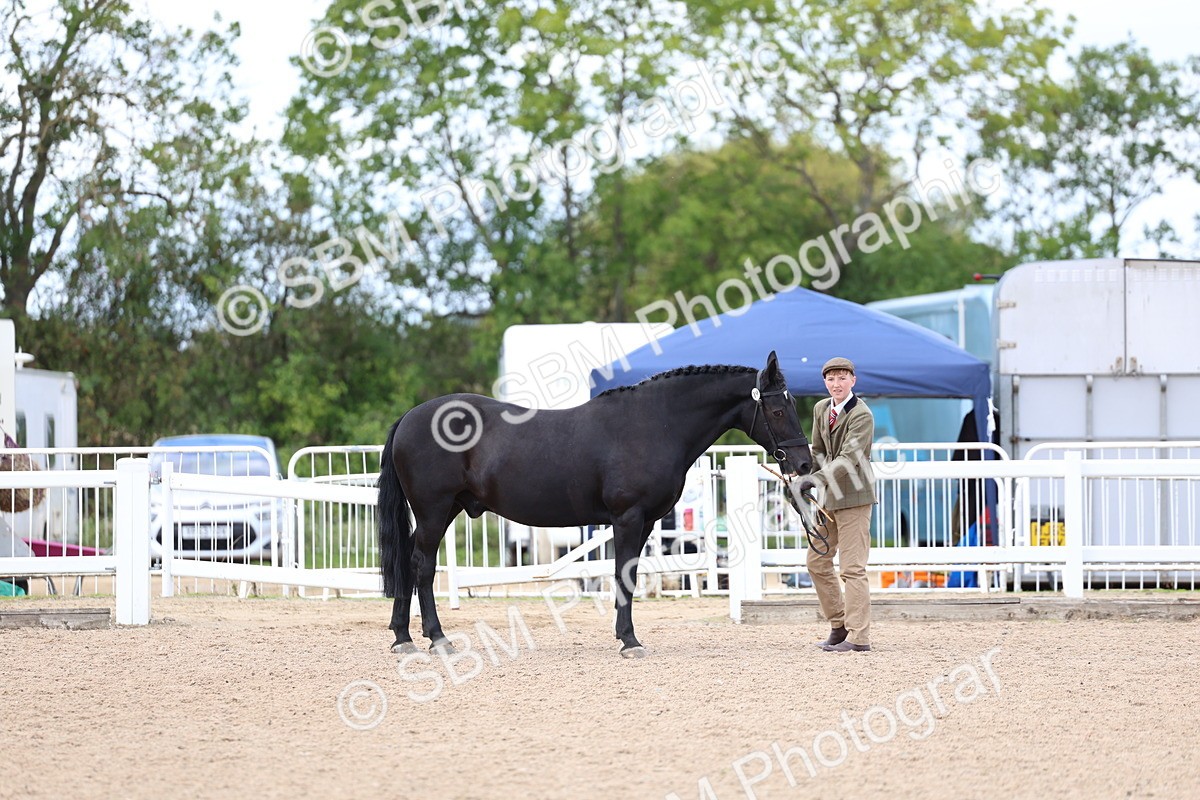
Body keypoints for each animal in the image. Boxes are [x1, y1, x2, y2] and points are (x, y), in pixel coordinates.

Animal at [376, 351, 813, 657]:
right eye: (778, 409)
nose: (804, 463)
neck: (654, 423)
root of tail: (410, 417)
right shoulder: (628, 518)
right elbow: (622, 574)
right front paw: (630, 642)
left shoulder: (645, 522)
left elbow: (629, 574)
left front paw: (626, 636)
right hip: (434, 511)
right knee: (422, 566)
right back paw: (436, 638)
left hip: (445, 509)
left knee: (409, 564)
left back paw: (403, 637)